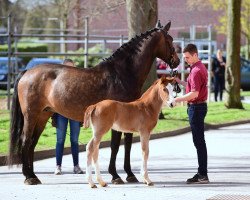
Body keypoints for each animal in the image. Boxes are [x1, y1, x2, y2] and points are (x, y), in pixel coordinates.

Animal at [8, 21, 180, 184]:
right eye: (169, 39)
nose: (177, 61)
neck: (122, 74)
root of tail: (26, 73)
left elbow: (128, 145)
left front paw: (130, 175)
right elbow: (115, 146)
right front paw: (115, 175)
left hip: (43, 116)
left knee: (32, 143)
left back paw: (33, 175)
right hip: (31, 115)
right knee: (25, 140)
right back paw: (29, 177)